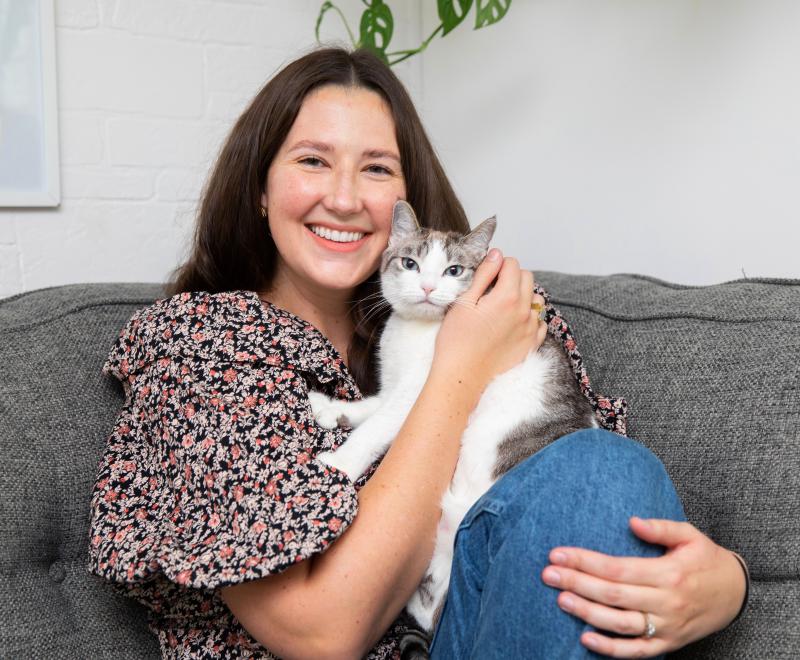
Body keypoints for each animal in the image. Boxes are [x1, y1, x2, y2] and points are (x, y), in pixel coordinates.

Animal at [310, 200, 596, 648]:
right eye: (410, 263)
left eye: (454, 270)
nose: (428, 288)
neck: (415, 332)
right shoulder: (396, 384)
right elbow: (376, 406)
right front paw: (333, 409)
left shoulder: (419, 391)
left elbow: (379, 425)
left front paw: (341, 461)